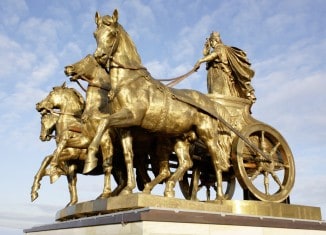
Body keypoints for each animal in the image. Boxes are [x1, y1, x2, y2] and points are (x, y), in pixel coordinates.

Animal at [86, 10, 232, 199]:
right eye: (95, 34)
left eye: (112, 33)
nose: (100, 57)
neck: (127, 82)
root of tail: (210, 103)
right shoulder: (125, 127)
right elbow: (128, 155)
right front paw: (128, 188)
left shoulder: (132, 116)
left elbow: (104, 122)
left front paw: (90, 159)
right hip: (180, 138)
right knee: (186, 162)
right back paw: (166, 188)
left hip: (207, 134)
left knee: (216, 160)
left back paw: (219, 196)